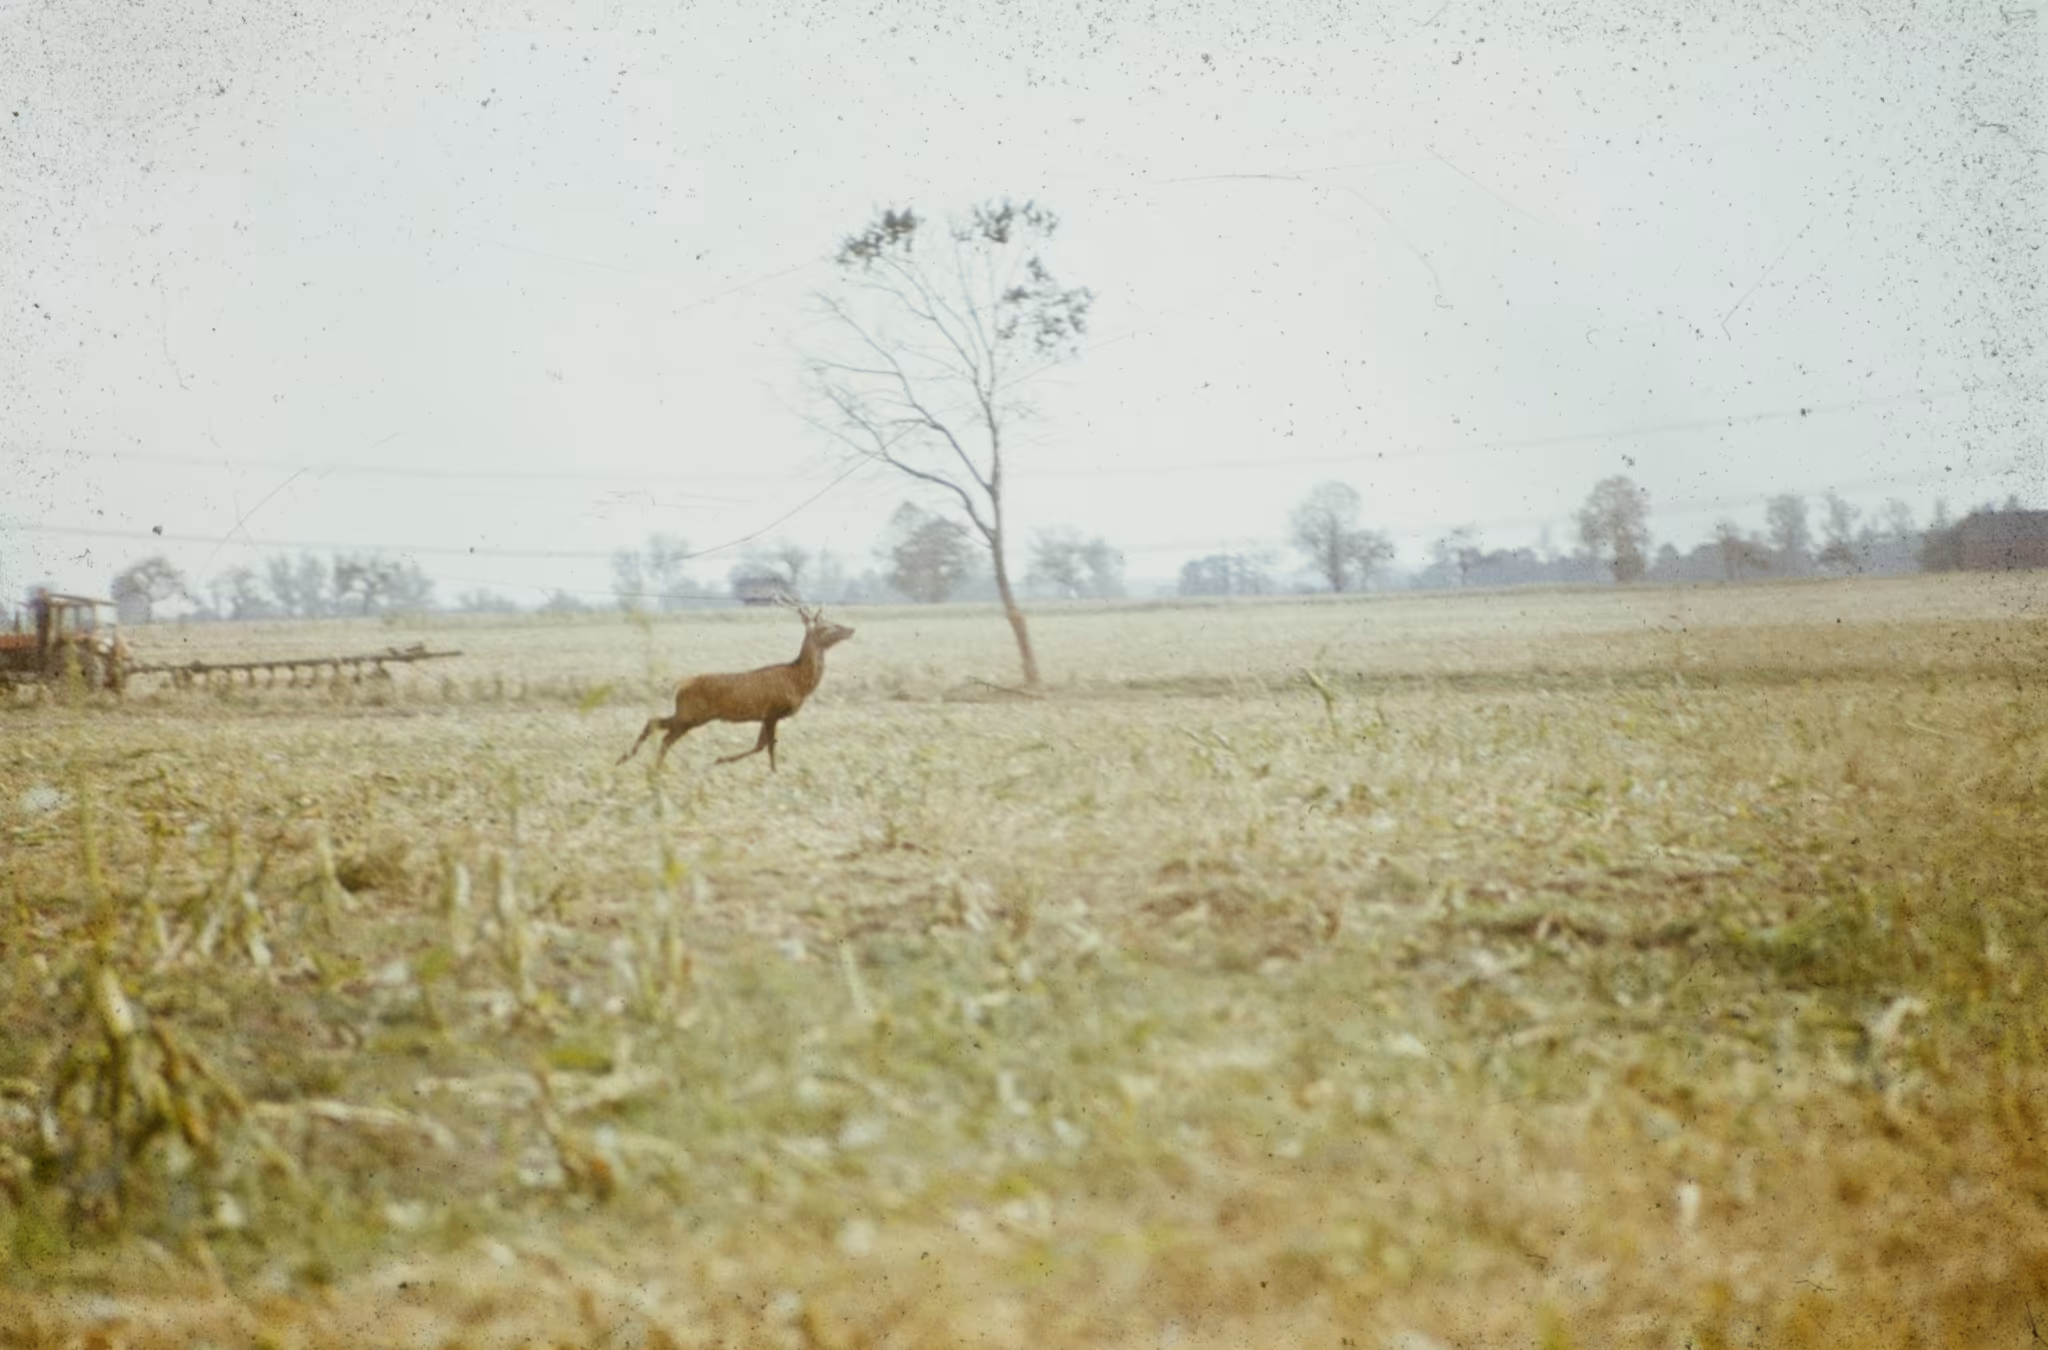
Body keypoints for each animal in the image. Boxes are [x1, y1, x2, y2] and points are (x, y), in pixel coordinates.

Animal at [616, 603, 855, 772]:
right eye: (828, 626)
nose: (851, 629)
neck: (798, 681)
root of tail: (680, 685)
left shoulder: (767, 715)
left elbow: (761, 745)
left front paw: (722, 760)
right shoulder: (773, 710)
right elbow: (768, 747)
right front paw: (771, 772)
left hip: (688, 714)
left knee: (658, 728)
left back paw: (640, 764)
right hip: (692, 714)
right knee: (661, 732)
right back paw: (638, 763)